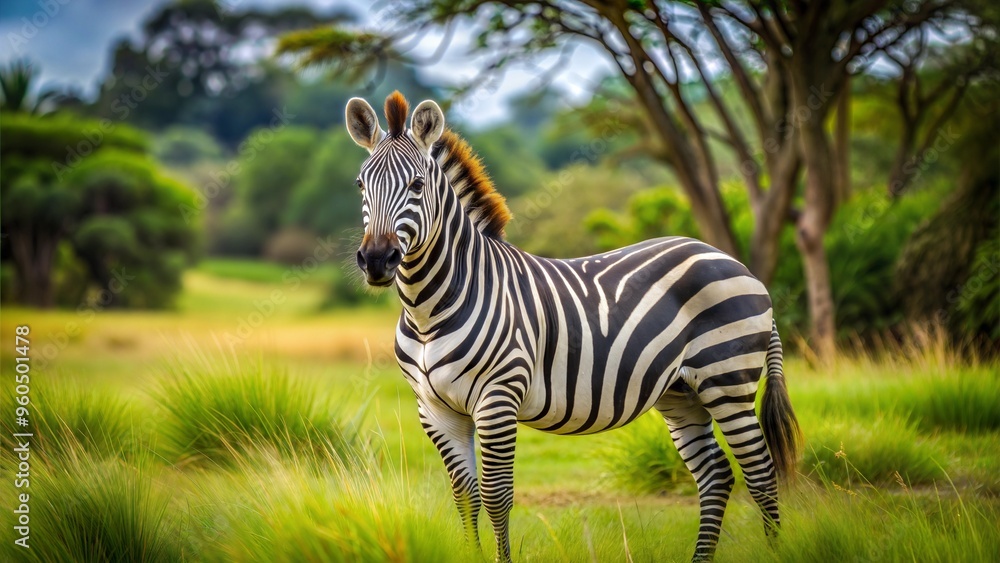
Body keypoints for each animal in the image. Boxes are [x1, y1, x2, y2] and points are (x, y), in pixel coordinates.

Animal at [345, 91, 801, 562]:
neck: (428, 313)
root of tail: (735, 264)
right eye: (360, 185)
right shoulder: (435, 409)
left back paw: (774, 552)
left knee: (760, 472)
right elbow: (464, 495)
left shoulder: (498, 397)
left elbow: (495, 495)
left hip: (727, 380)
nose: (376, 260)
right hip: (681, 392)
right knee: (716, 474)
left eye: (417, 186)